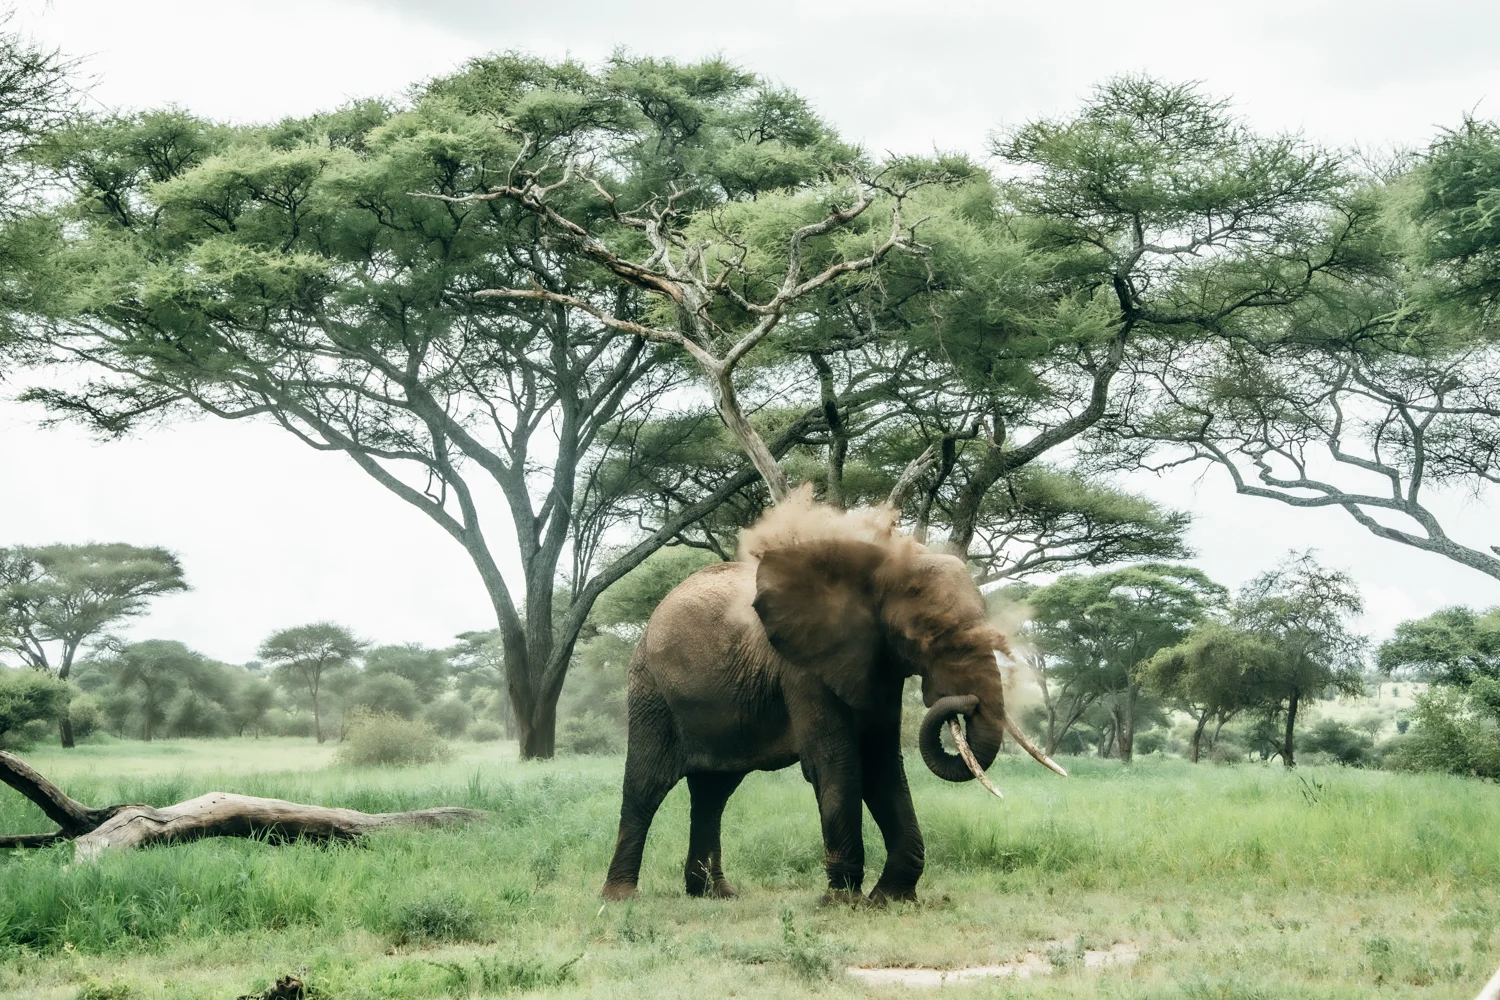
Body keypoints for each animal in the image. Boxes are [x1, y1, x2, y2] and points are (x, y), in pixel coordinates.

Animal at [601, 494, 1066, 903]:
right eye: (931, 637)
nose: (963, 703)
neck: (871, 567)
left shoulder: (877, 663)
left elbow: (881, 764)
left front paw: (890, 898)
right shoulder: (802, 669)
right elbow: (837, 762)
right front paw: (842, 900)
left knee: (713, 793)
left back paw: (715, 895)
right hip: (651, 691)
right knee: (646, 786)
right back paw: (622, 897)